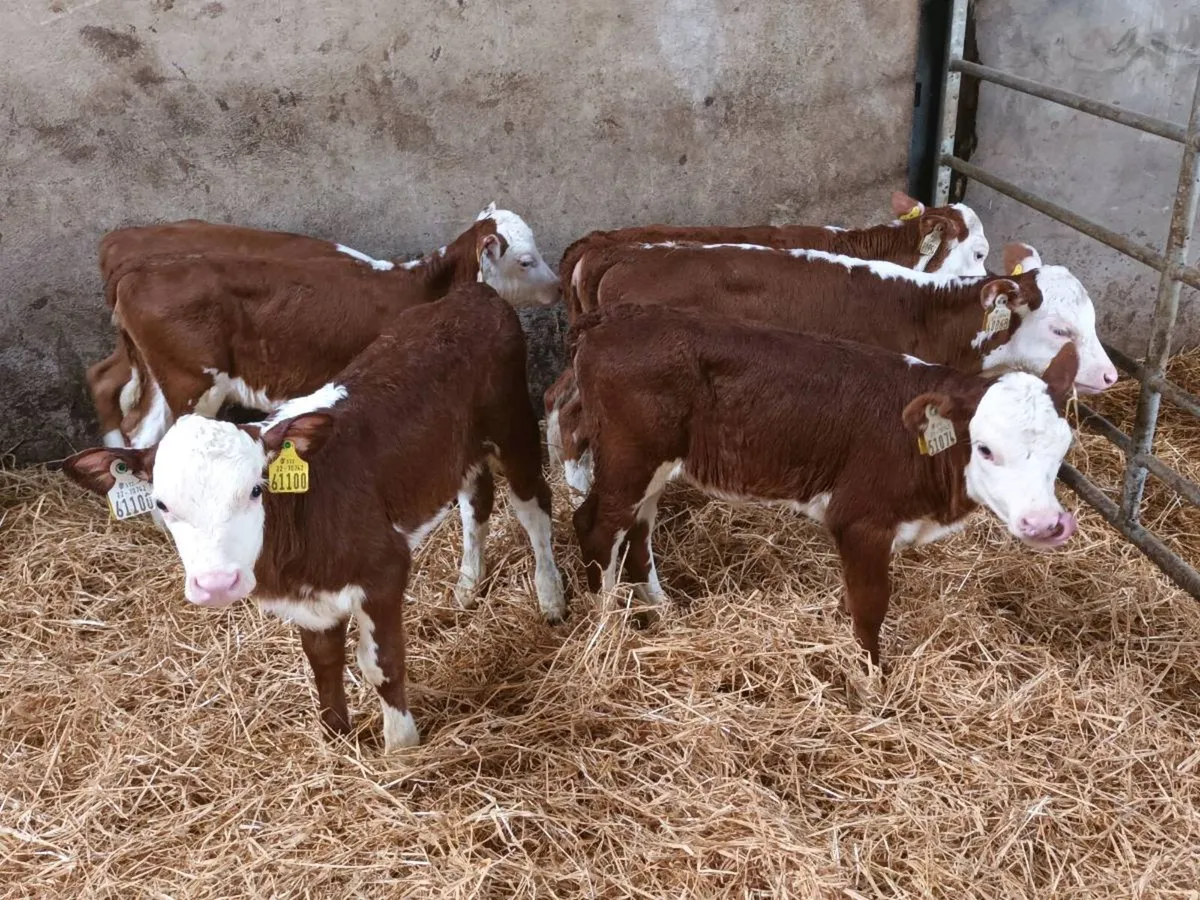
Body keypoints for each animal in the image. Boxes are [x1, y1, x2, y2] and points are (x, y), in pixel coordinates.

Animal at [62, 285, 566, 751]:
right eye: (163, 504)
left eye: (256, 489)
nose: (217, 584)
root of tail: (474, 293)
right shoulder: (308, 601)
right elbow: (323, 663)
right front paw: (337, 739)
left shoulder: (384, 570)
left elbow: (381, 665)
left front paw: (400, 748)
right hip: (457, 451)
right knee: (474, 501)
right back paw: (467, 587)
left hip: (513, 426)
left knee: (533, 507)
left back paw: (551, 597)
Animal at [89, 203, 558, 448]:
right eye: (525, 260)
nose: (556, 286)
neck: (419, 287)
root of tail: (137, 264)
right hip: (192, 383)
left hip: (160, 377)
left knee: (133, 423)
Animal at [547, 242, 1116, 498]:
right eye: (1060, 329)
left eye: (1093, 319)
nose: (1111, 376)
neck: (925, 312)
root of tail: (626, 252)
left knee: (560, 403)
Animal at [566, 303, 1081, 667]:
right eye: (986, 449)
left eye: (1063, 448)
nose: (1045, 524)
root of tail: (616, 316)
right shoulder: (859, 519)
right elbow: (871, 606)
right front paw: (874, 682)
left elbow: (852, 598)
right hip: (630, 456)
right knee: (595, 526)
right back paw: (605, 632)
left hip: (654, 464)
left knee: (638, 529)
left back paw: (662, 608)